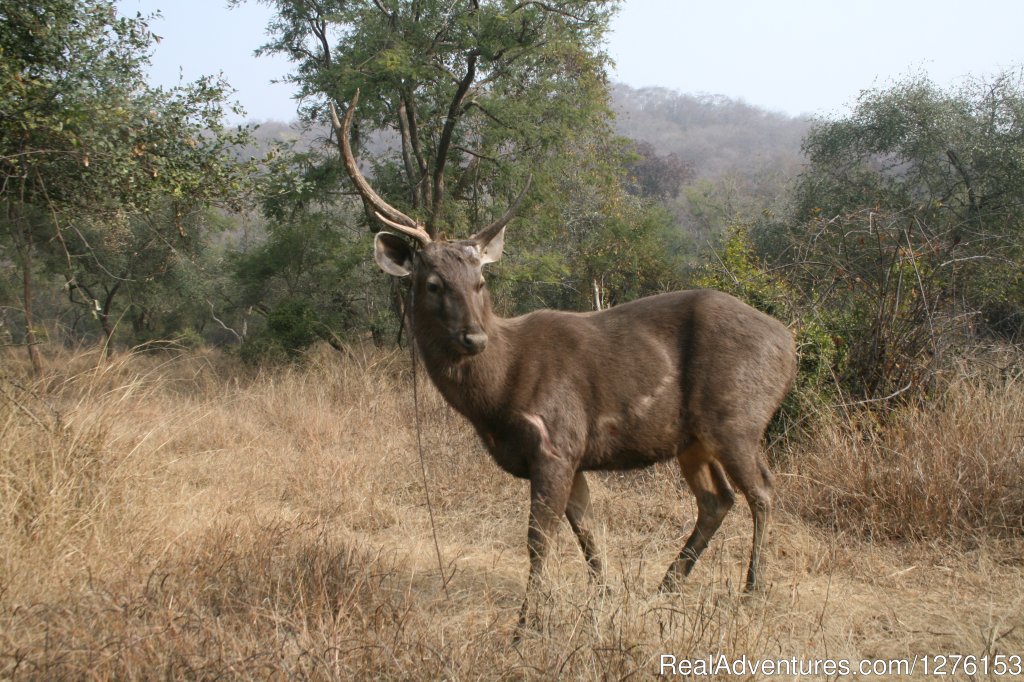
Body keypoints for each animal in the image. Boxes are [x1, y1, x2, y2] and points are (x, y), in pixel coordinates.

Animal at [331, 93, 794, 630]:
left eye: (480, 281)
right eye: (432, 283)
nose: (474, 337)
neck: (496, 399)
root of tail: (790, 344)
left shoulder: (556, 440)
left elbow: (538, 540)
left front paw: (525, 624)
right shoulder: (570, 455)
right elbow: (586, 531)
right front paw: (605, 598)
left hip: (737, 415)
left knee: (762, 491)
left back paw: (751, 592)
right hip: (692, 439)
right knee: (716, 499)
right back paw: (665, 586)